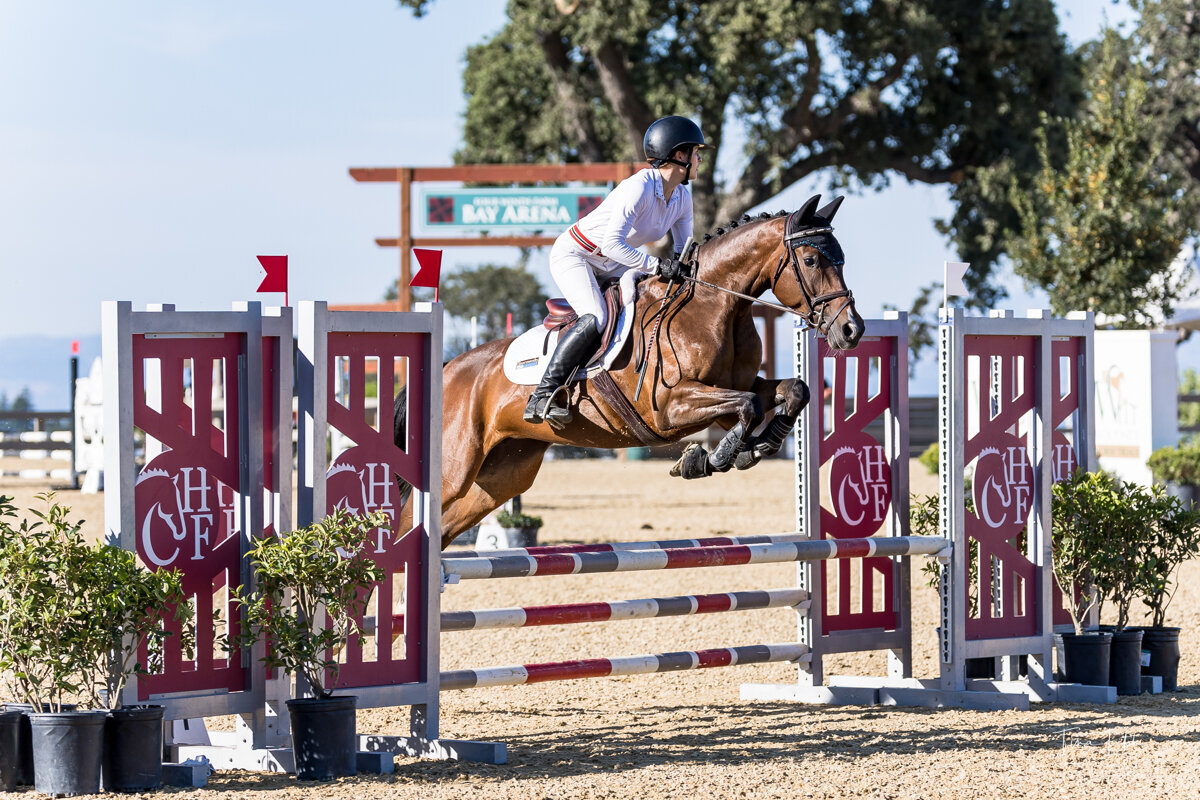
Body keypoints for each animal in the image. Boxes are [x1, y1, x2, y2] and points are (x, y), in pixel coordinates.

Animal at [396, 193, 865, 548]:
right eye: (810, 259)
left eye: (841, 259)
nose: (851, 330)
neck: (716, 305)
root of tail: (449, 368)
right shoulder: (670, 407)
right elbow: (748, 406)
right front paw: (709, 458)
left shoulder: (732, 388)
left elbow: (793, 391)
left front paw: (757, 446)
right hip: (454, 470)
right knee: (406, 521)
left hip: (501, 475)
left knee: (443, 527)